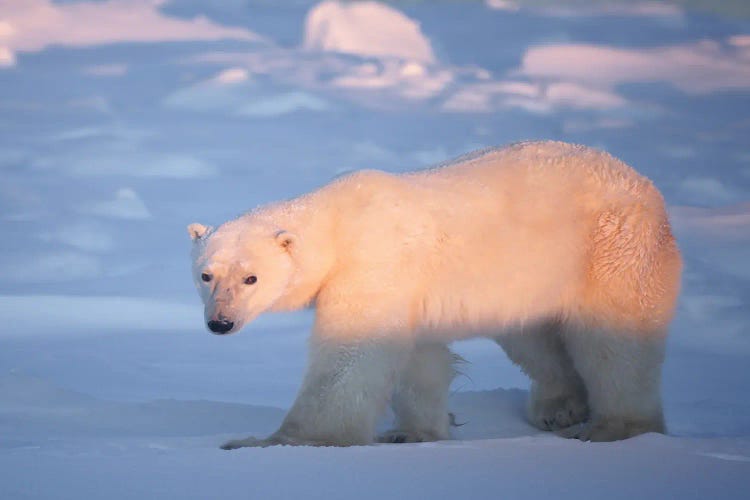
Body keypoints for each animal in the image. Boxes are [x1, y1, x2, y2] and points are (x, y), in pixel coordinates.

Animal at [187, 141, 680, 450]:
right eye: (206, 275)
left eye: (251, 278)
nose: (220, 322)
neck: (338, 225)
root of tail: (647, 186)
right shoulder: (407, 290)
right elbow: (420, 361)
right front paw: (414, 432)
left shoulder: (373, 263)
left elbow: (349, 357)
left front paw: (268, 441)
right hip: (534, 280)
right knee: (534, 338)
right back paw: (559, 409)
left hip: (610, 249)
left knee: (615, 342)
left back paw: (612, 427)